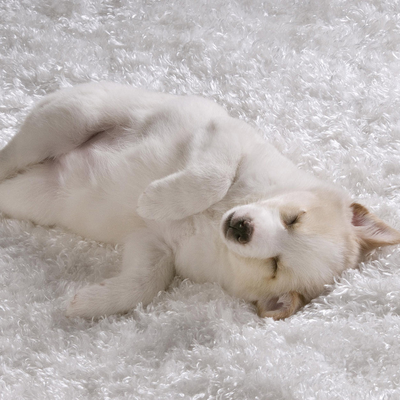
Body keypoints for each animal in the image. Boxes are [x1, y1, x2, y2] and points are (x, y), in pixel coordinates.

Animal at [0, 83, 400, 320]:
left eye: (274, 266)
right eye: (294, 218)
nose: (241, 228)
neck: (213, 220)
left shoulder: (155, 246)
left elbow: (145, 283)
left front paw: (88, 302)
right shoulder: (224, 137)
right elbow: (213, 177)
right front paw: (156, 199)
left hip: (36, 195)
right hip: (71, 119)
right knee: (15, 152)